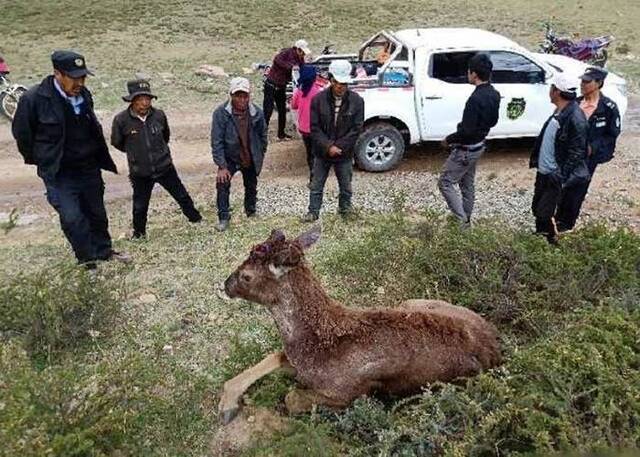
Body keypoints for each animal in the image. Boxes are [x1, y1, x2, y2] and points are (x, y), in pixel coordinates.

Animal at [219, 225, 500, 424]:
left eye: (246, 276)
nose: (226, 284)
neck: (316, 341)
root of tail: (496, 342)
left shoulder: (346, 392)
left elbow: (291, 398)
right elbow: (271, 358)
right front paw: (227, 405)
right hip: (410, 302)